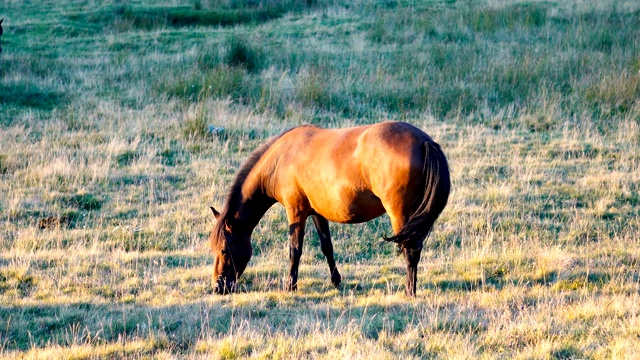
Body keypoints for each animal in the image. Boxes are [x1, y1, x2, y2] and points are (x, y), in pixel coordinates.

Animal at [210, 121, 450, 296]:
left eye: (224, 250)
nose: (217, 287)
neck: (281, 158)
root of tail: (424, 141)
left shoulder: (295, 211)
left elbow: (295, 249)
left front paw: (290, 285)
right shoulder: (317, 213)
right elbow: (327, 247)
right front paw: (336, 280)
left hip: (400, 213)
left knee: (410, 249)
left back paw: (410, 291)